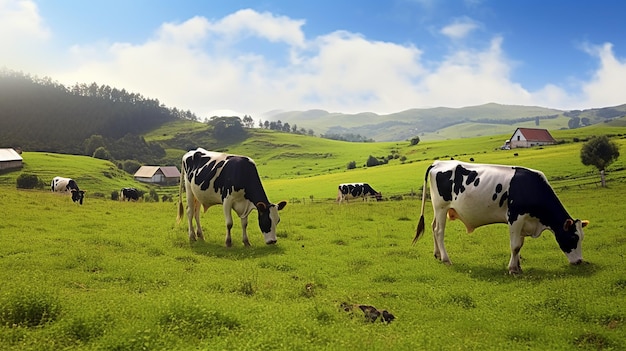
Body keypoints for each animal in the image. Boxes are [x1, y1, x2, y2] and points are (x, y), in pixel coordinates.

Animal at [412, 160, 588, 276]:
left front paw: (518, 267)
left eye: (581, 238)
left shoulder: (524, 222)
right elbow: (515, 246)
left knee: (433, 227)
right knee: (439, 231)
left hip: (439, 209)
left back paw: (437, 254)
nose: (580, 261)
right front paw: (512, 269)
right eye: (573, 238)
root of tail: (438, 163)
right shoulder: (515, 217)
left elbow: (520, 245)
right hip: (441, 207)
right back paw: (446, 259)